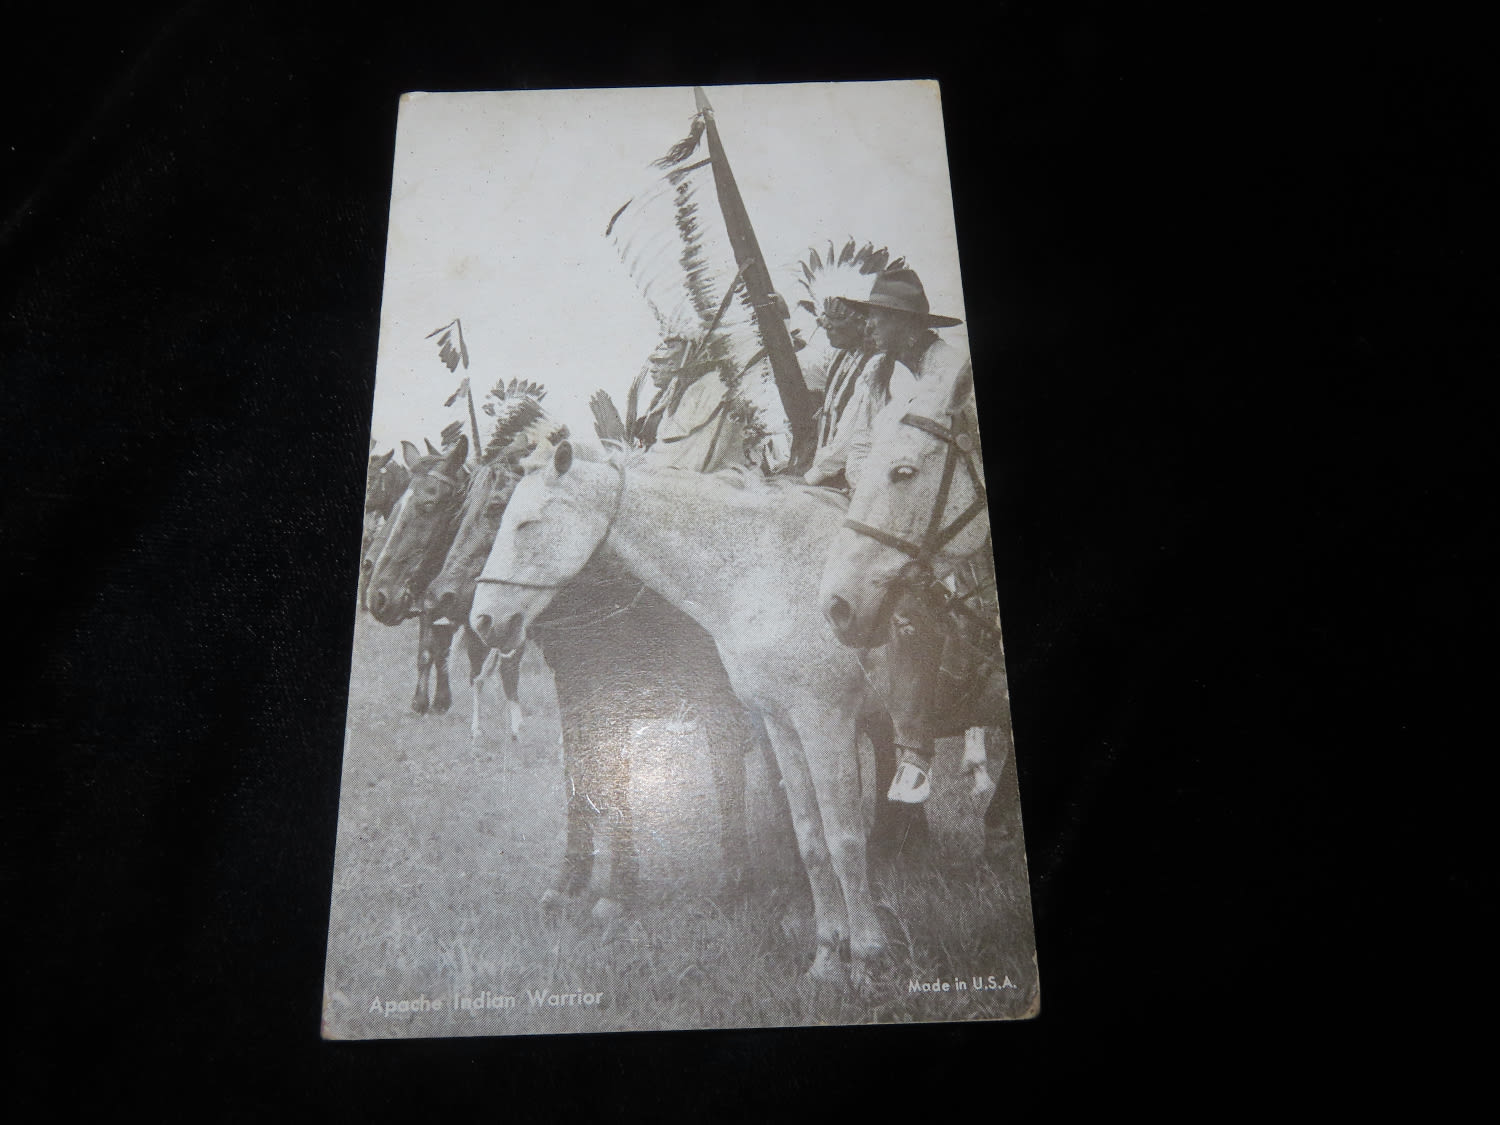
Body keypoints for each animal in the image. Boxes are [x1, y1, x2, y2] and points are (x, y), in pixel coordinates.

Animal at [423, 453, 761, 921]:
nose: (439, 598)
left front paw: (619, 890)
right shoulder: (578, 696)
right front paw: (571, 880)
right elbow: (580, 777)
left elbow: (623, 779)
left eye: (496, 510)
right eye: (464, 513)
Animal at [471, 443, 891, 986]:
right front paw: (827, 957)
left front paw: (865, 958)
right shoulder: (783, 722)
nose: (482, 620)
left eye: (526, 524)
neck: (766, 569)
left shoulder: (825, 720)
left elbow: (843, 841)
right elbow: (812, 838)